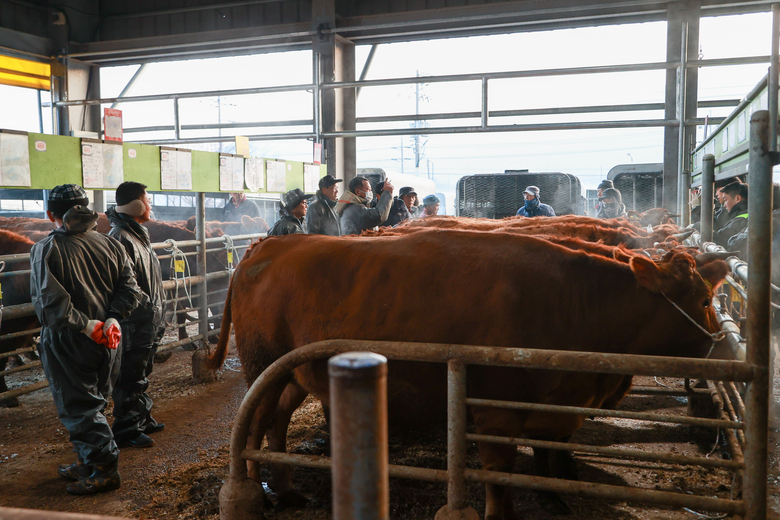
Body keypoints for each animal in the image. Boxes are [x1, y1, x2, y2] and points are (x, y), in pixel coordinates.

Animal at [204, 230, 728, 516]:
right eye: (704, 298)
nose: (721, 348)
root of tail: (265, 246)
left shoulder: (555, 405)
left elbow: (548, 454)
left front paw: (555, 497)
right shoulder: (497, 410)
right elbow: (499, 471)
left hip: (295, 374)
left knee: (276, 422)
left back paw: (288, 489)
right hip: (263, 366)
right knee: (254, 424)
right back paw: (258, 494)